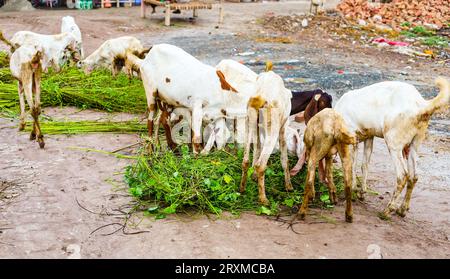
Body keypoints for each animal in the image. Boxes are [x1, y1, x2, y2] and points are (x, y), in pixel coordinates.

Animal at [336, 77, 448, 218]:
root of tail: (421, 104)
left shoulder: (351, 138)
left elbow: (352, 165)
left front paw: (353, 190)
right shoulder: (369, 137)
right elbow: (364, 165)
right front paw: (361, 192)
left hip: (393, 143)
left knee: (402, 175)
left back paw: (387, 211)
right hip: (415, 143)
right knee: (414, 176)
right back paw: (402, 210)